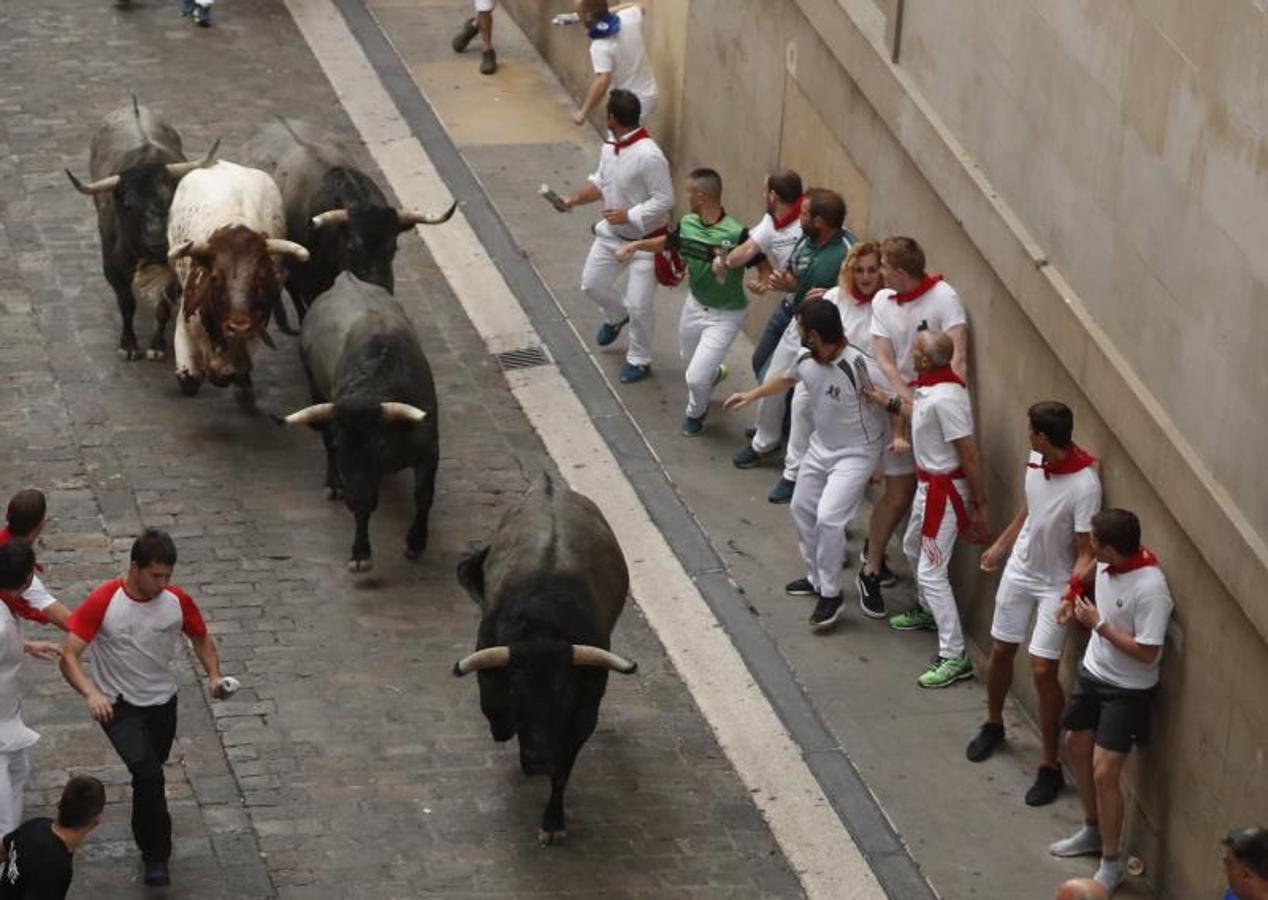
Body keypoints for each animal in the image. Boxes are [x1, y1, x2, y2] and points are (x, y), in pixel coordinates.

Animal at [64, 100, 218, 362]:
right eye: (128, 203)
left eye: (170, 197)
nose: (158, 242)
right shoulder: (112, 267)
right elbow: (127, 304)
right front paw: (128, 345)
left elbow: (163, 306)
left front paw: (156, 346)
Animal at [280, 271, 438, 575]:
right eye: (343, 445)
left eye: (378, 444)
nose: (350, 492)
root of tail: (344, 278)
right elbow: (363, 505)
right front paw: (361, 553)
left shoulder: (429, 449)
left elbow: (423, 496)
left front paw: (416, 542)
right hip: (316, 391)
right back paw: (333, 484)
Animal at [451, 476, 639, 851]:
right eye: (516, 693)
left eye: (565, 696)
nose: (538, 761)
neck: (544, 623)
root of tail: (549, 485)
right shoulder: (492, 689)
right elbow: (500, 721)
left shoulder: (584, 715)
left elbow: (563, 770)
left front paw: (553, 821)